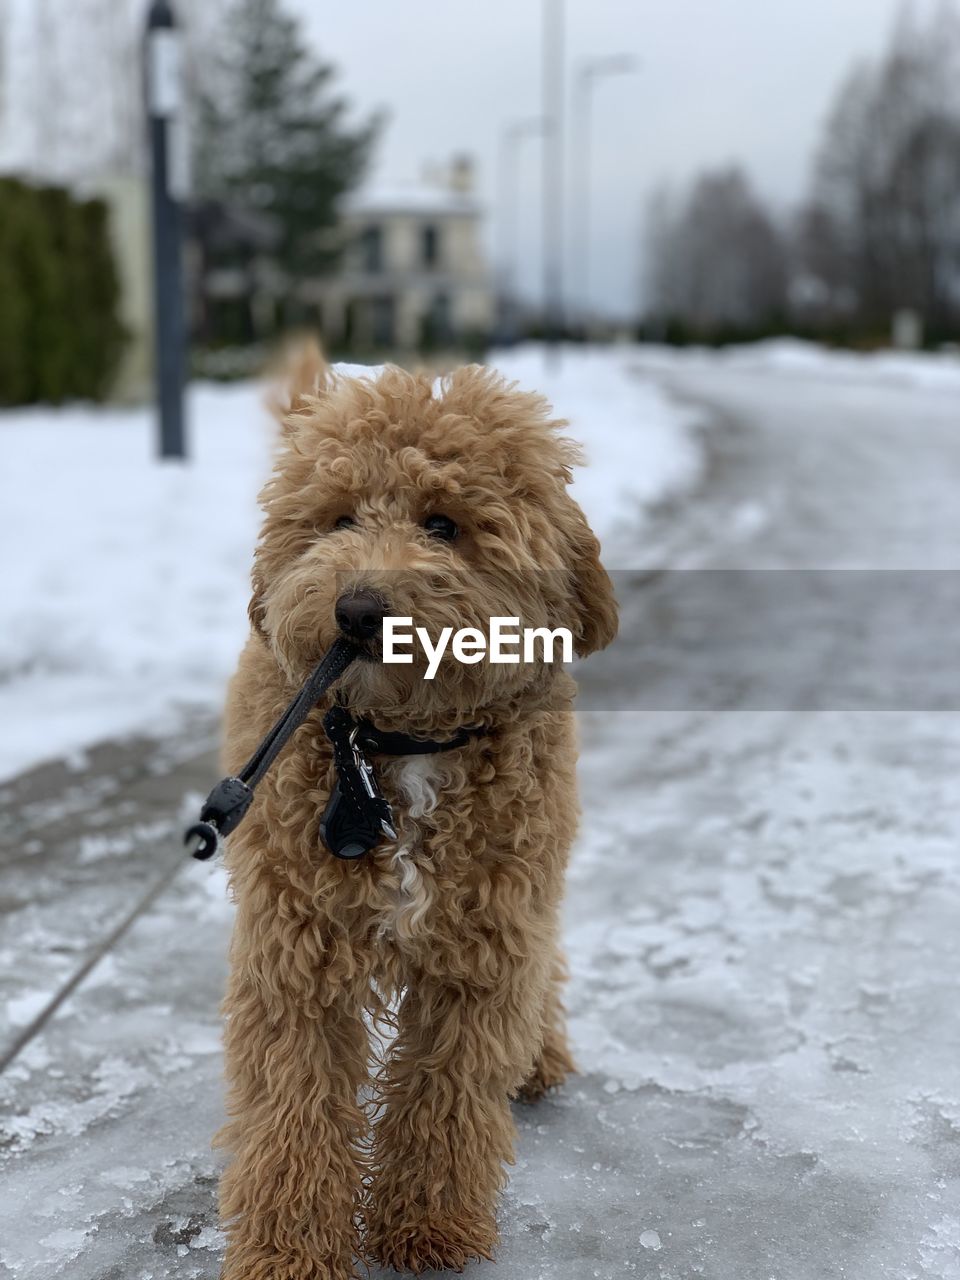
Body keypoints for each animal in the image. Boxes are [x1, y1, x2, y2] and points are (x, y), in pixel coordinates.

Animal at [217, 353, 619, 1280]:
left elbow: (448, 1092)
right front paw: (288, 1249)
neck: (395, 746)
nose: (357, 610)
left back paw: (540, 1054)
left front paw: (426, 1227)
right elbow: (293, 1105)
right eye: (337, 519)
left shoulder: (486, 942)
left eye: (443, 524)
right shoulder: (295, 946)